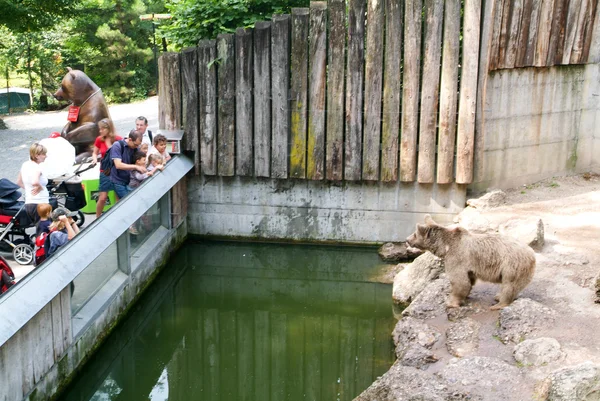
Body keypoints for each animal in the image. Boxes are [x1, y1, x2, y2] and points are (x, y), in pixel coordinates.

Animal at [406, 212, 536, 310]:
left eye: (414, 234)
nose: (407, 239)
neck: (445, 246)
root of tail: (532, 253)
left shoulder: (456, 256)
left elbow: (459, 281)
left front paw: (451, 302)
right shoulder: (468, 265)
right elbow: (469, 280)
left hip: (513, 264)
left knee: (509, 284)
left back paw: (498, 303)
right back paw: (499, 297)